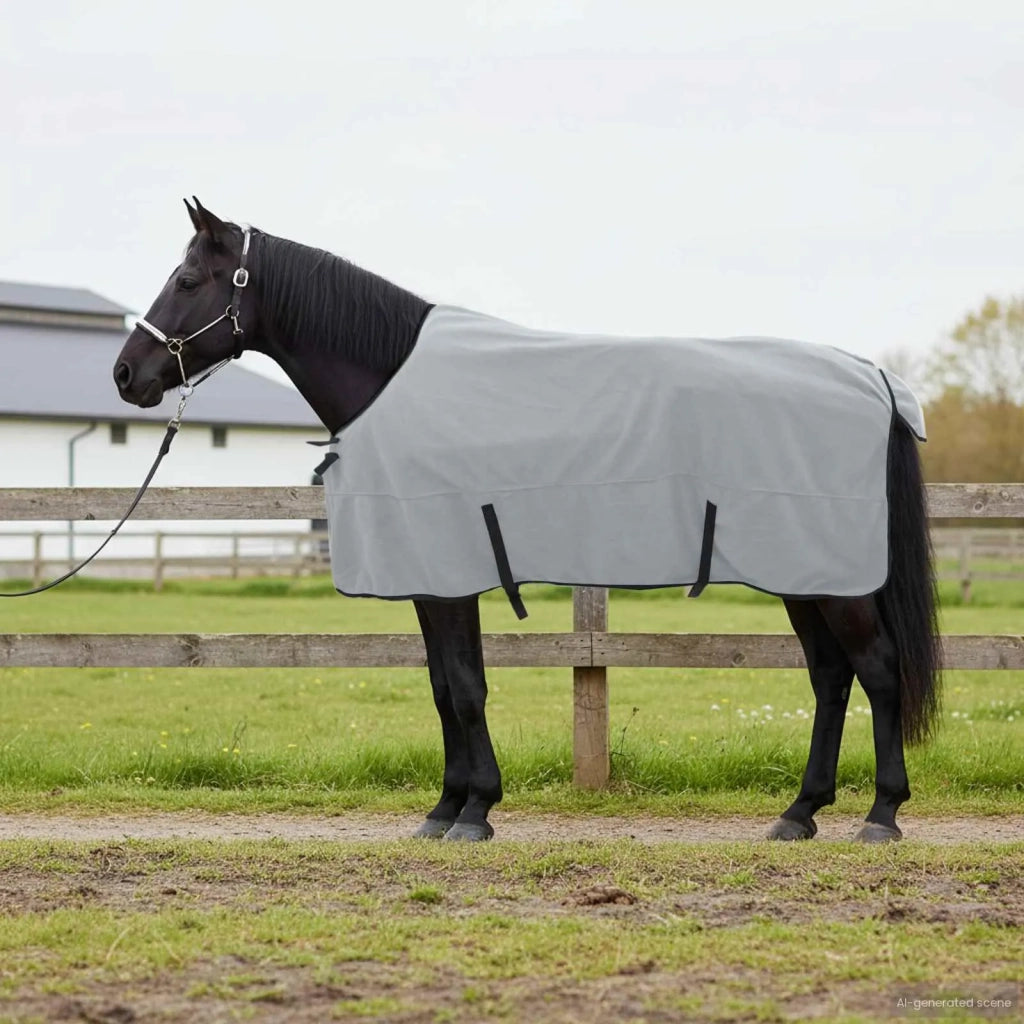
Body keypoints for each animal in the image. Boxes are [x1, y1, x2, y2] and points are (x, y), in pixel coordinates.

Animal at [112, 198, 941, 843]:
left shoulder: (447, 577)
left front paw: (474, 811)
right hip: (803, 574)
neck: (399, 383)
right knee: (831, 676)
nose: (126, 374)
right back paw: (800, 813)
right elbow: (445, 685)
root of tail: (870, 378)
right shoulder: (432, 580)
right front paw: (447, 807)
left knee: (877, 669)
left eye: (187, 280)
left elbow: (464, 687)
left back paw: (881, 815)